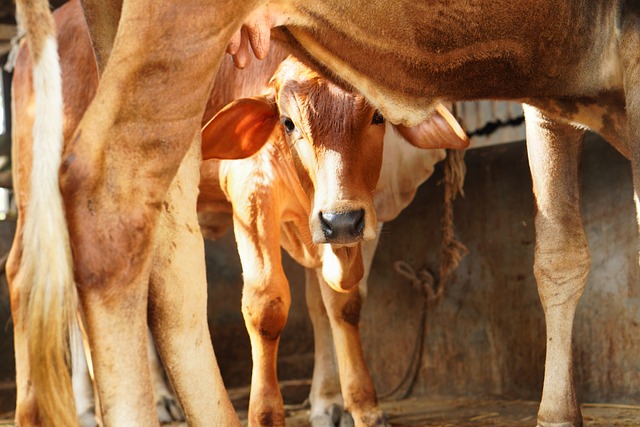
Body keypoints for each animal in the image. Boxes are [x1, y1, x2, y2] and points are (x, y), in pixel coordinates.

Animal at [15, 0, 640, 427]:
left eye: (377, 117)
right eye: (288, 122)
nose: (339, 221)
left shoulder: (364, 213)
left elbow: (338, 304)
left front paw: (346, 403)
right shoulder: (252, 200)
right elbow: (268, 305)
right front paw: (268, 412)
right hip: (39, 179)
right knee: (37, 275)